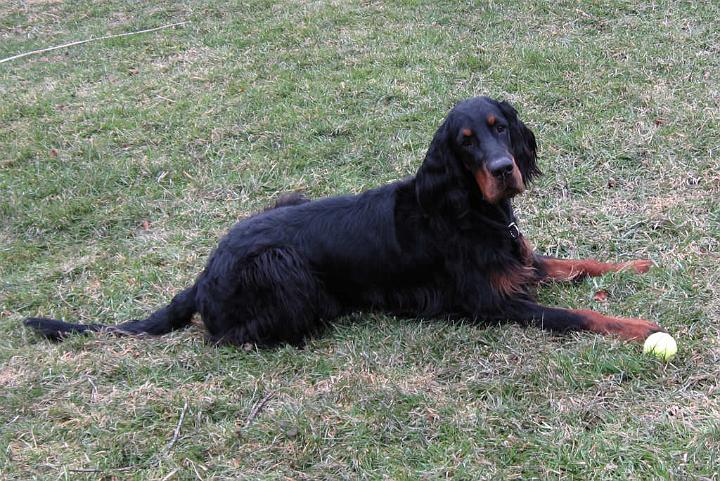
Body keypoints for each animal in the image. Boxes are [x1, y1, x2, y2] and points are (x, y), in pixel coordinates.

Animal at [23, 96, 664, 344]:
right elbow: (578, 314)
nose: (506, 169)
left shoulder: (517, 259)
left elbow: (577, 263)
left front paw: (636, 264)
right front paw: (641, 327)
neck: (468, 209)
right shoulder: (492, 303)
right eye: (464, 142)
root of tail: (204, 274)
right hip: (280, 265)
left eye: (499, 126)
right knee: (228, 334)